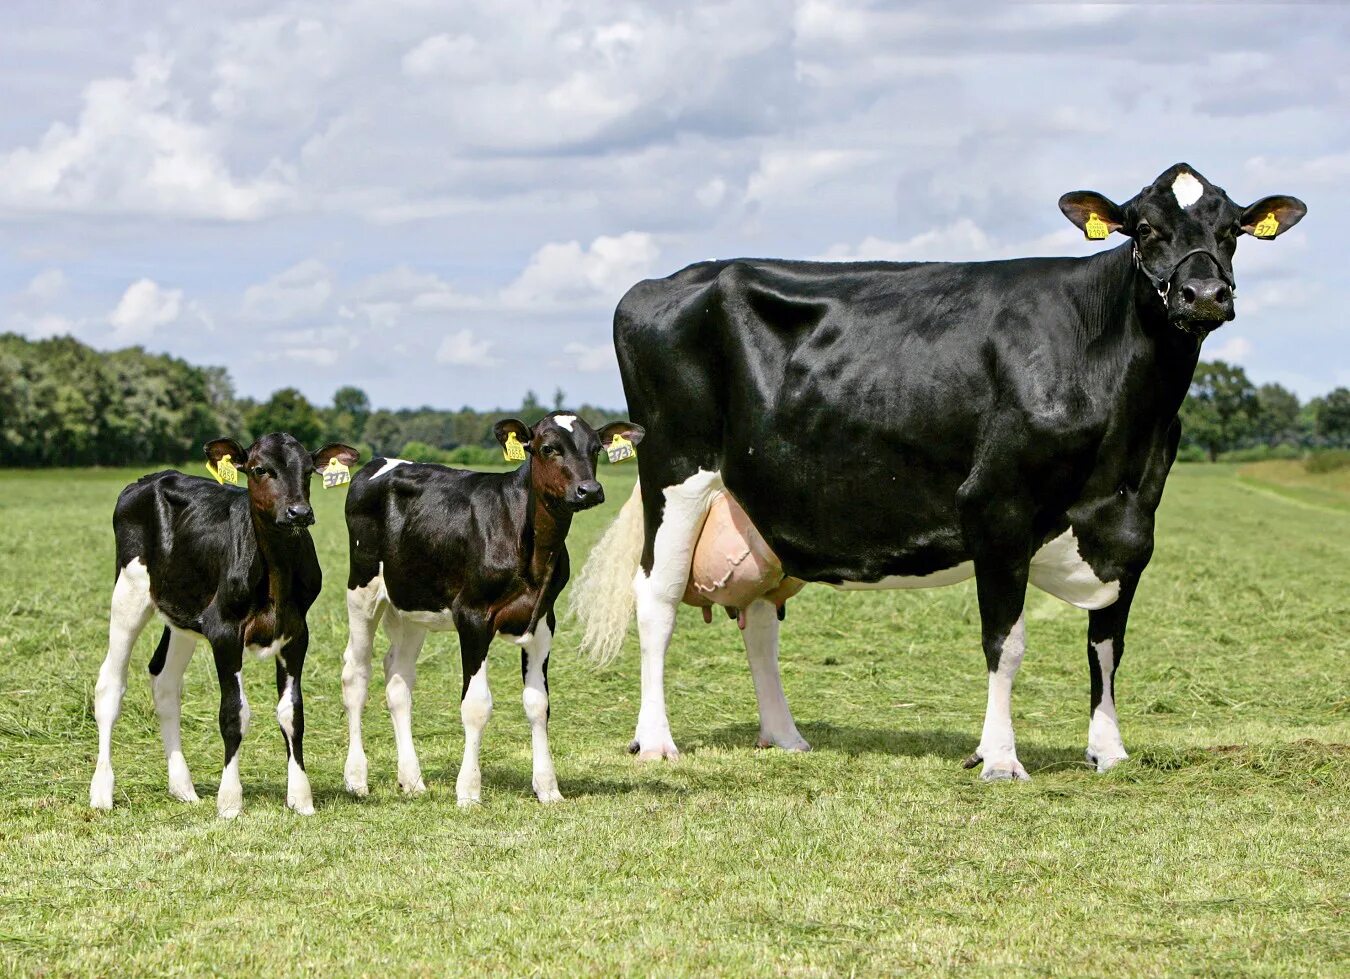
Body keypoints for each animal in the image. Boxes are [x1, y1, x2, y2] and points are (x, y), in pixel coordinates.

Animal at [91, 434, 361, 815]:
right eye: (260, 469)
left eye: (308, 470)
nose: (299, 512)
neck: (276, 573)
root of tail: (149, 478)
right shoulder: (224, 631)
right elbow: (234, 713)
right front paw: (230, 801)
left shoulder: (297, 634)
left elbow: (292, 713)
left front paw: (301, 798)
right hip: (129, 589)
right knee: (110, 685)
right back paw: (101, 793)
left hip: (183, 612)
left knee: (165, 681)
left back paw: (183, 788)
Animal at [345, 410, 645, 799]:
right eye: (548, 448)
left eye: (595, 448)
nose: (589, 490)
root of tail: (379, 462)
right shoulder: (472, 616)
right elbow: (476, 705)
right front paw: (469, 790)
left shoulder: (543, 621)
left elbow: (538, 704)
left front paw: (548, 788)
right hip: (362, 588)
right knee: (355, 673)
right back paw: (356, 778)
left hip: (411, 603)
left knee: (398, 679)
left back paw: (411, 780)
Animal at [572, 166, 1306, 777]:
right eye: (1147, 227)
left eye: (1232, 230)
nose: (1204, 292)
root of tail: (664, 281)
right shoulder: (998, 508)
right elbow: (1006, 641)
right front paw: (1000, 758)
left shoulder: (1133, 524)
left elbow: (1107, 644)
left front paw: (1108, 751)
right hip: (675, 468)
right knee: (657, 598)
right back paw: (656, 740)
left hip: (758, 502)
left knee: (758, 619)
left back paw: (783, 737)